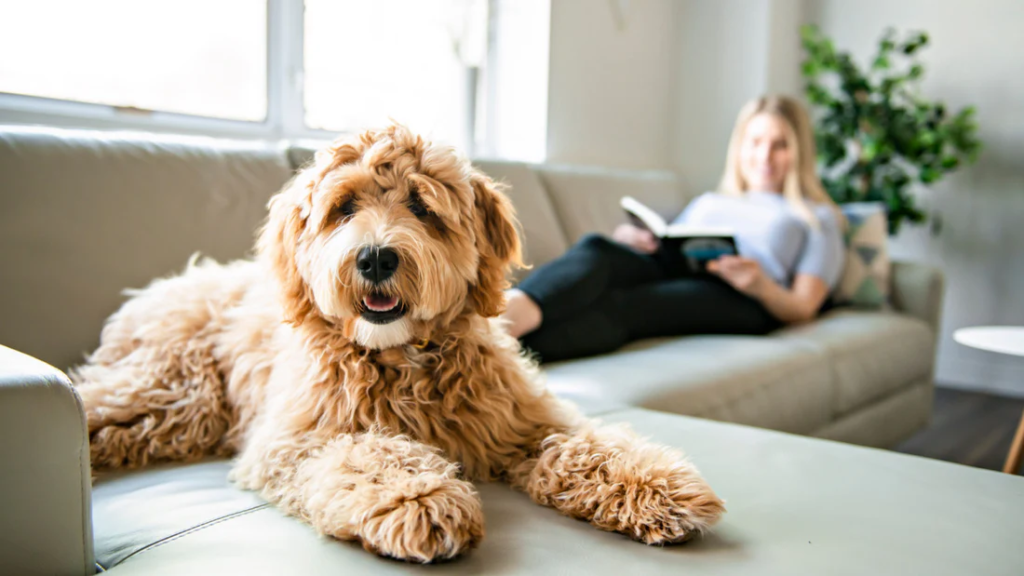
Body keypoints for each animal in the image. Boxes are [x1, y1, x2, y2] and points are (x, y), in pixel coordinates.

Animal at [74, 123, 720, 557]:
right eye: (342, 208)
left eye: (421, 206)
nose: (377, 257)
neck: (403, 357)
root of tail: (162, 286)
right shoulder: (296, 441)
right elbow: (368, 454)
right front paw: (419, 498)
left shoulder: (524, 421)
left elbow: (587, 443)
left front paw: (656, 485)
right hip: (175, 394)